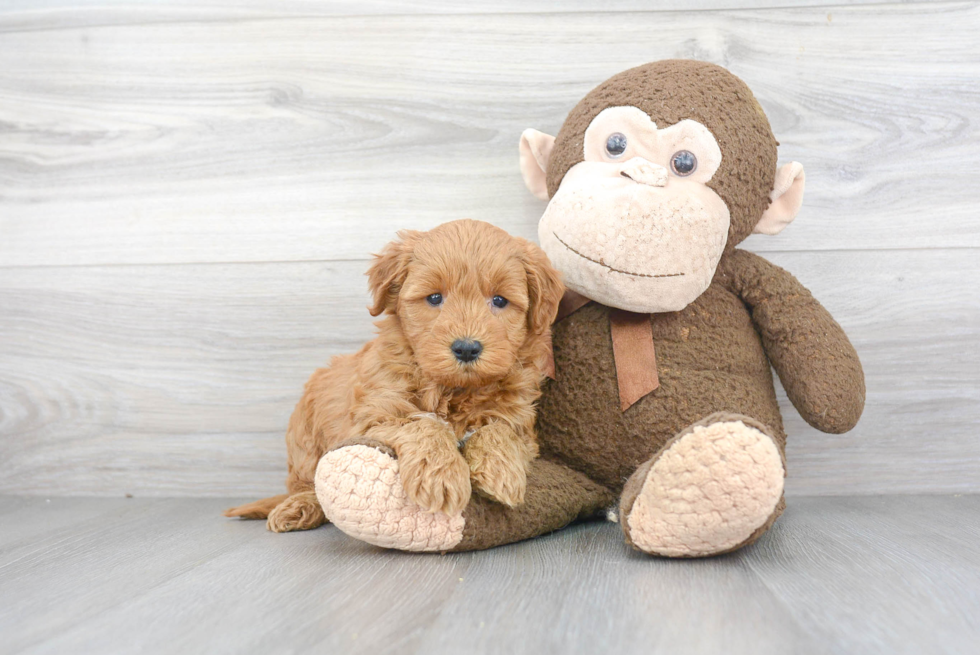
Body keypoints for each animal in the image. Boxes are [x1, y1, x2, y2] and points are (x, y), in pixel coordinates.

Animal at [222, 220, 560, 532]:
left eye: (500, 300)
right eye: (434, 298)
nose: (466, 348)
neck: (452, 388)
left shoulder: (520, 422)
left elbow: (498, 429)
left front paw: (500, 471)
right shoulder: (371, 417)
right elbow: (421, 424)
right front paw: (440, 474)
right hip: (304, 439)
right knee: (308, 482)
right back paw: (298, 507)